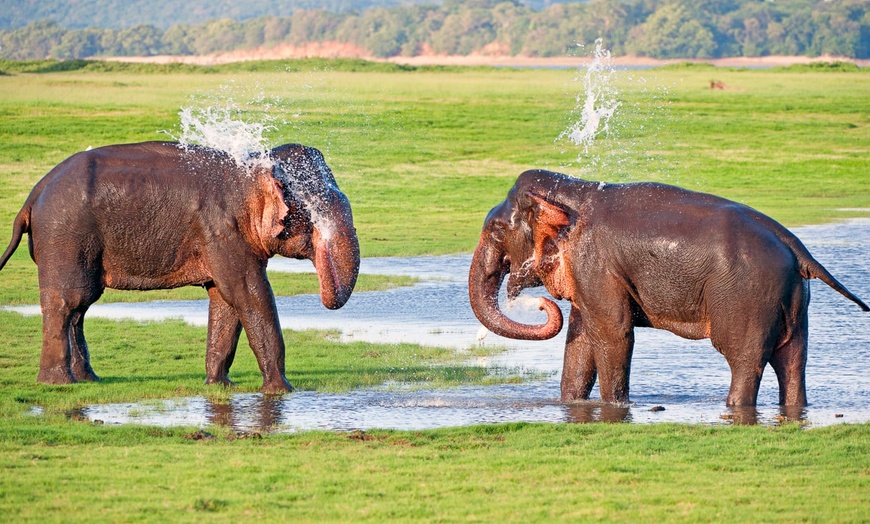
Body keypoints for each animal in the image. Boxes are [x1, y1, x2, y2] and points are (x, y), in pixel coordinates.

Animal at [0, 140, 362, 392]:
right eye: (318, 212)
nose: (326, 295)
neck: (251, 171)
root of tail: (33, 195)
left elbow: (225, 299)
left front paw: (219, 386)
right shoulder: (222, 230)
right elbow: (248, 293)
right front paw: (281, 391)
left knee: (80, 307)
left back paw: (89, 380)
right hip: (64, 236)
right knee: (68, 302)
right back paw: (59, 384)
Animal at [474, 170, 868, 408]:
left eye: (496, 228)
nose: (540, 304)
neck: (576, 190)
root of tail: (797, 246)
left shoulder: (595, 264)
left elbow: (614, 333)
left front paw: (615, 407)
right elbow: (583, 335)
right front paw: (571, 405)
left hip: (747, 297)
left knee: (744, 358)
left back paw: (733, 407)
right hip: (793, 300)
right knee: (793, 359)